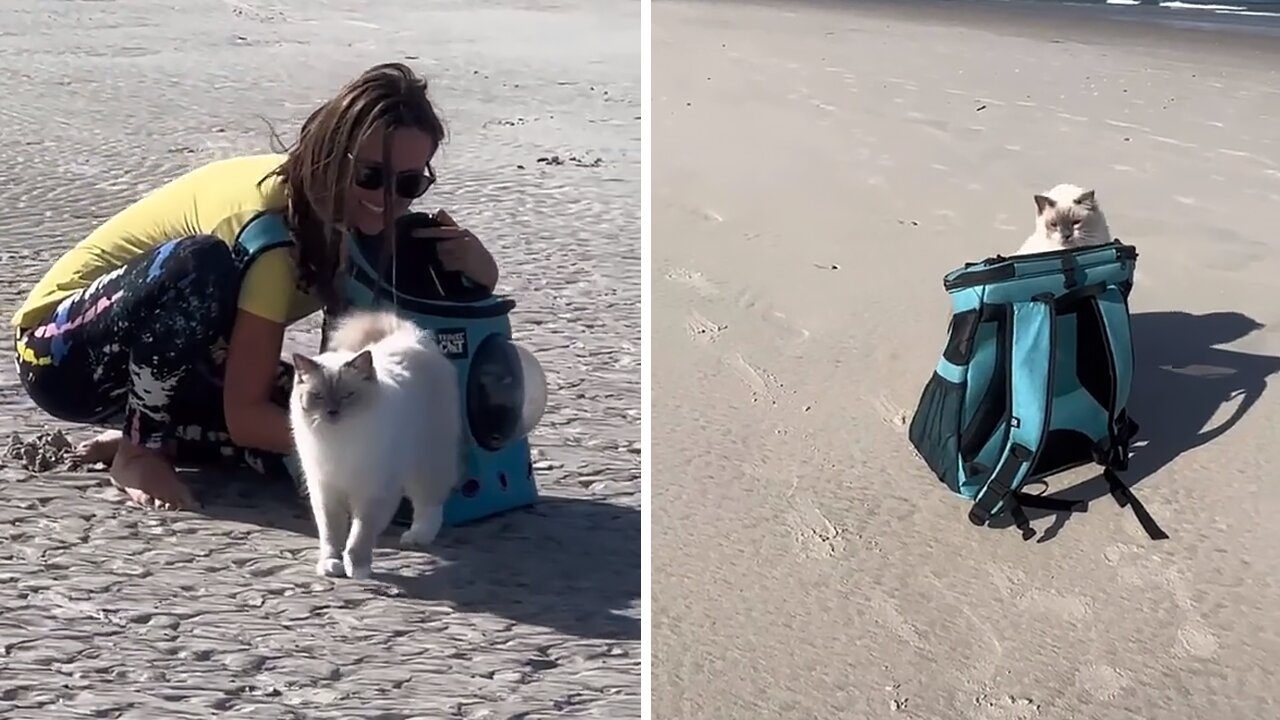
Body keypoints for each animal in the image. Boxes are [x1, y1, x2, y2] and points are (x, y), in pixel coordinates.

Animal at [293, 308, 463, 576]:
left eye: (348, 395)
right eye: (317, 396)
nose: (332, 412)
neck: (340, 440)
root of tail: (410, 336)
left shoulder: (373, 492)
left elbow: (359, 535)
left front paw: (357, 568)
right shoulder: (326, 492)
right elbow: (331, 535)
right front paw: (331, 565)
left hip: (426, 462)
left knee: (429, 503)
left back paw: (417, 537)